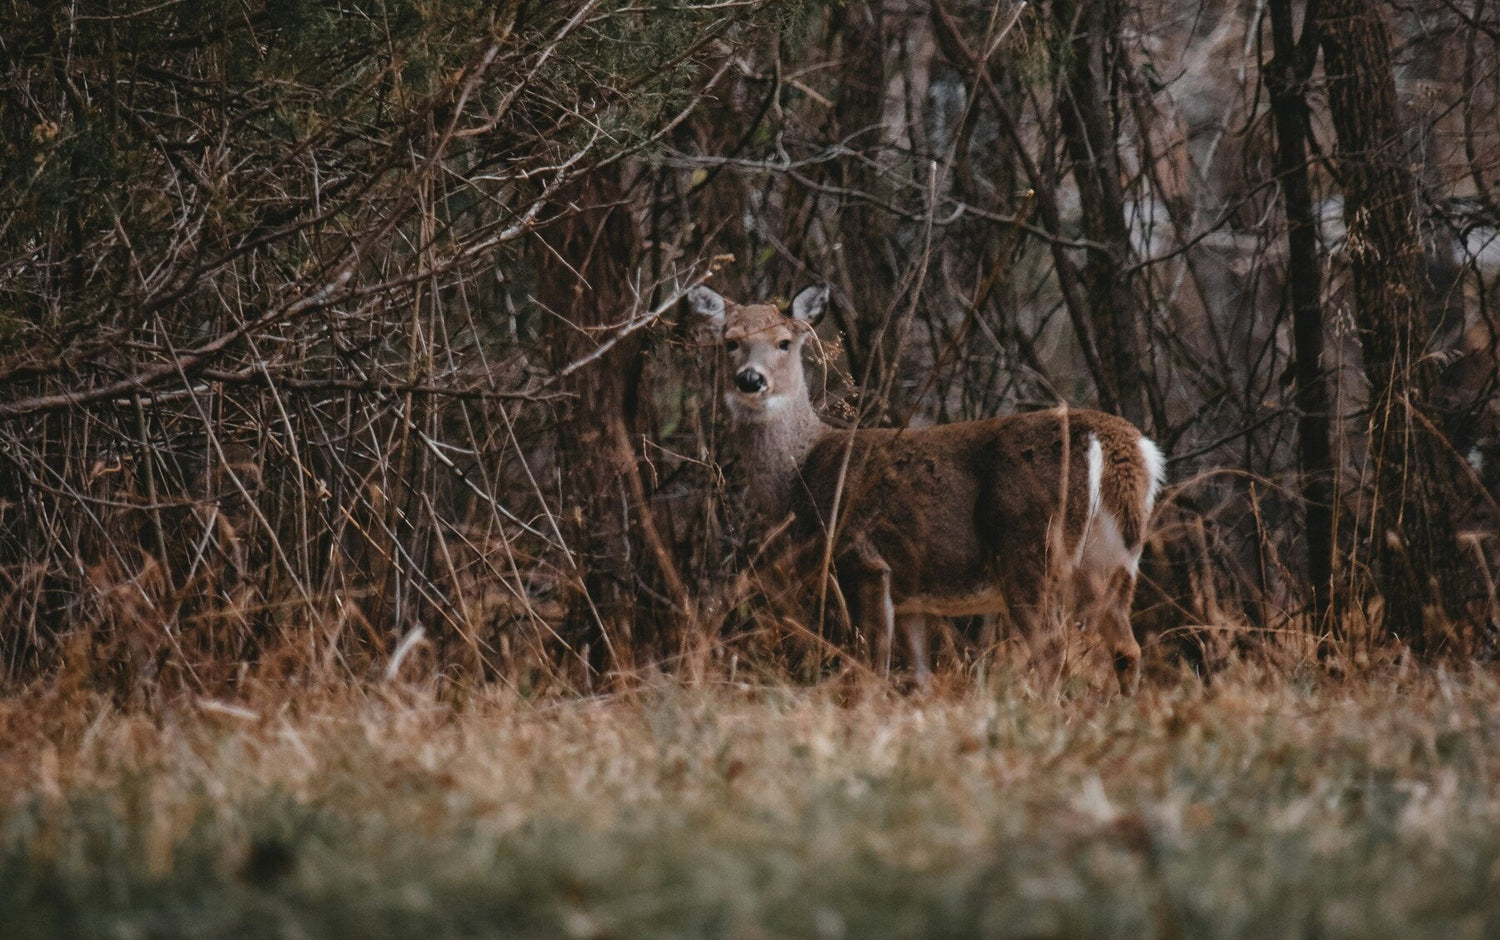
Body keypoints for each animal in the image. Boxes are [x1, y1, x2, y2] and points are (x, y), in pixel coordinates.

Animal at [690, 281, 1170, 692]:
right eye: (730, 340)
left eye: (783, 343)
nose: (750, 379)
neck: (802, 473)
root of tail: (1124, 445)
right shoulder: (913, 597)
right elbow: (919, 679)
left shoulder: (864, 560)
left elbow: (872, 670)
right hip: (1115, 560)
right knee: (1127, 648)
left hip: (1031, 548)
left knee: (1053, 650)